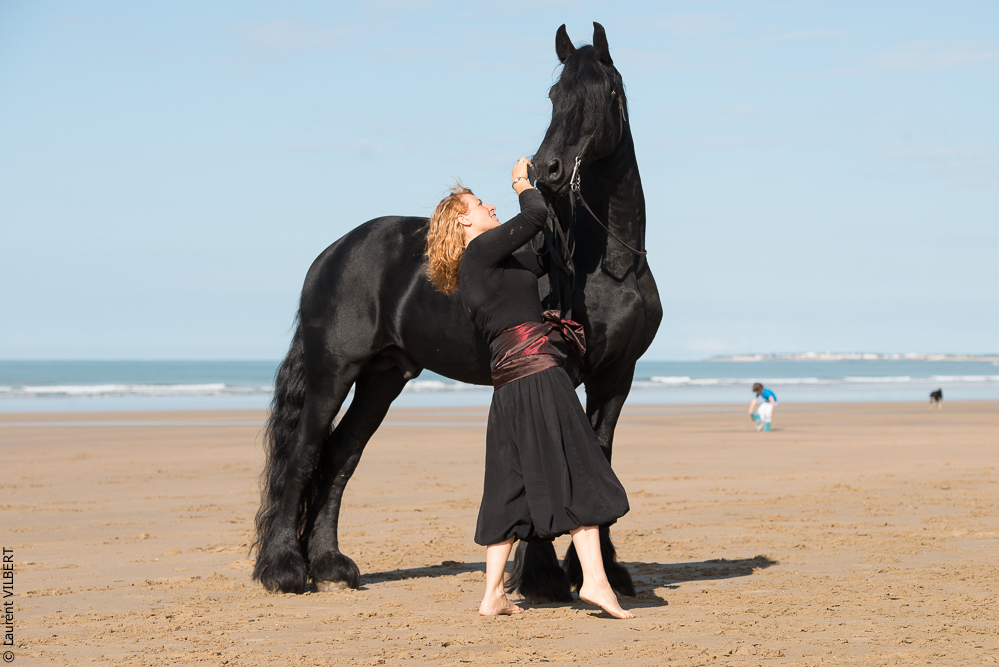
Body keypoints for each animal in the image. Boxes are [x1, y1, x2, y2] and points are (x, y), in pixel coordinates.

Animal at [252, 22, 662, 603]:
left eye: (601, 92)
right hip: (333, 372)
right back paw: (285, 570)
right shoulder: (564, 369)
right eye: (555, 94)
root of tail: (333, 253)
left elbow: (599, 456)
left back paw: (331, 565)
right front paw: (541, 576)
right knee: (305, 454)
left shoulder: (616, 378)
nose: (548, 169)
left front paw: (600, 569)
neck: (609, 267)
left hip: (382, 377)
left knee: (340, 456)